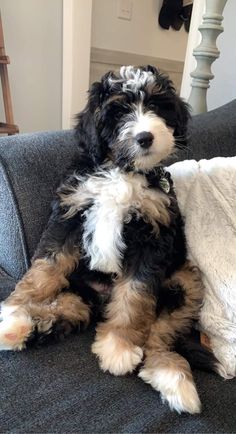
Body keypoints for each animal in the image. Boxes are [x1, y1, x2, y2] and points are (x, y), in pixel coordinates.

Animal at [0, 65, 219, 414]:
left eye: (156, 106)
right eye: (118, 112)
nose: (145, 137)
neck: (121, 171)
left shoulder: (152, 239)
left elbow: (134, 295)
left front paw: (119, 346)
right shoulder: (68, 217)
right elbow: (46, 268)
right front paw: (15, 304)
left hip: (185, 281)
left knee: (158, 335)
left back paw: (173, 378)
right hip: (81, 287)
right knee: (70, 308)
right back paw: (19, 325)